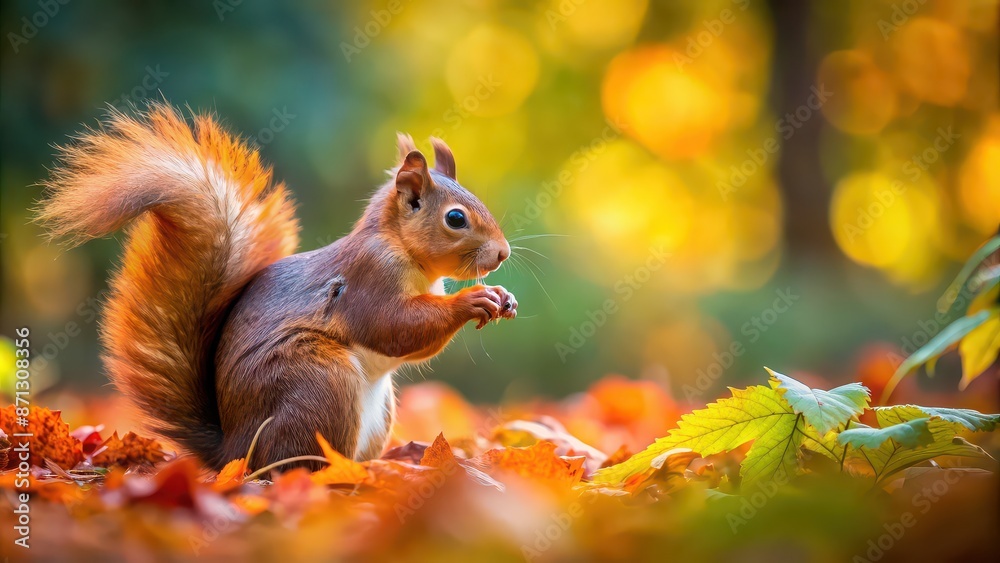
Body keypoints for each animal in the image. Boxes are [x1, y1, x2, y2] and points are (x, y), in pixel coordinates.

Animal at [37, 104, 516, 472]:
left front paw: (502, 297)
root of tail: (233, 455)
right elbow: (394, 327)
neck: (401, 248)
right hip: (318, 383)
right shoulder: (369, 278)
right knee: (292, 466)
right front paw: (473, 299)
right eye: (455, 218)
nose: (503, 253)